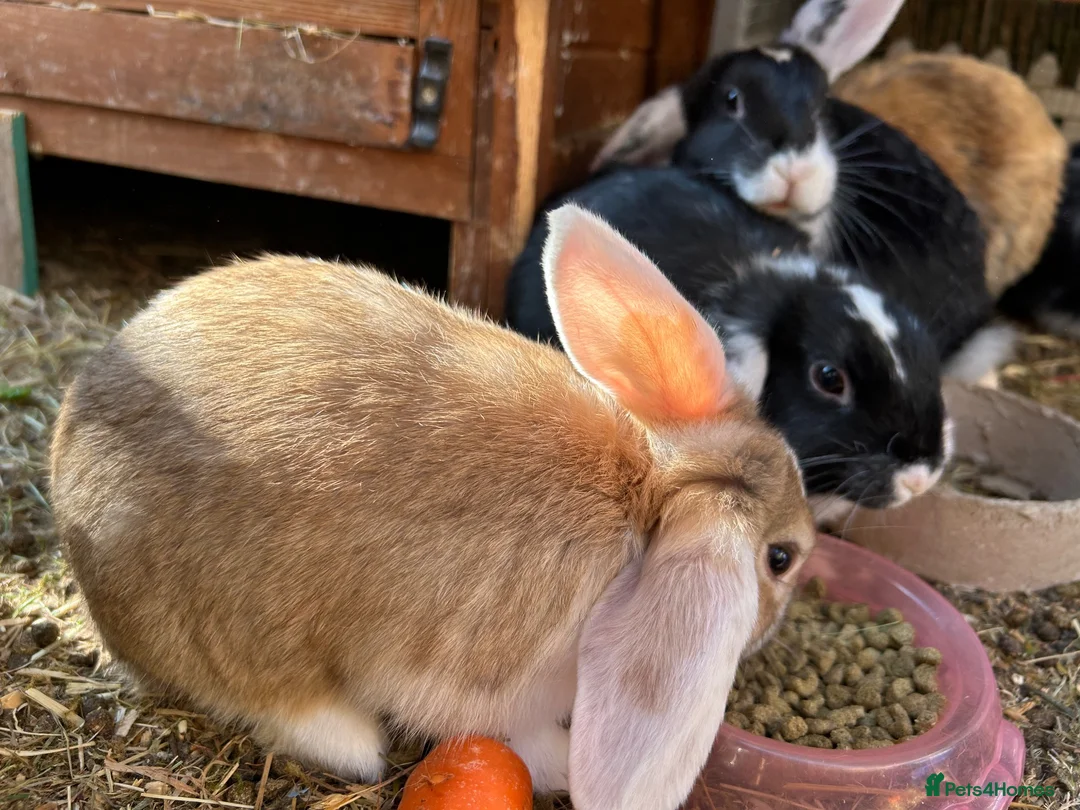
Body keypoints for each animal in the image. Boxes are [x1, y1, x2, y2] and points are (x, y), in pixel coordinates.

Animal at [49, 205, 817, 810]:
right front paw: (566, 771)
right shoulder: (502, 696)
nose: (784, 620)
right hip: (233, 638)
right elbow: (530, 745)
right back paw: (353, 741)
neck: (654, 495)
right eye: (780, 559)